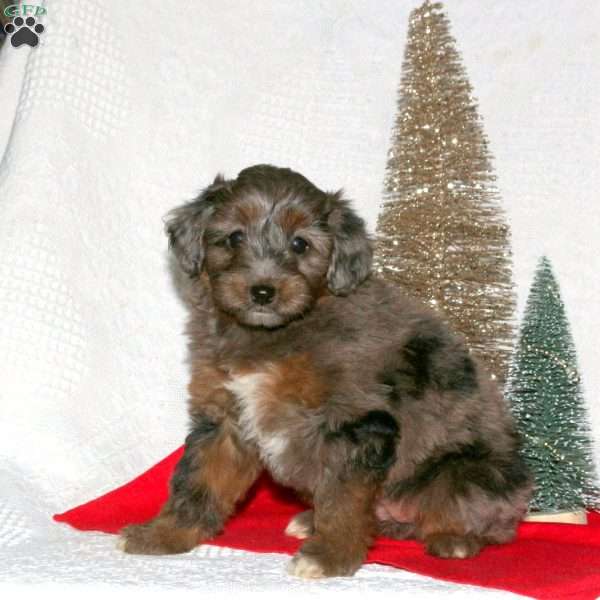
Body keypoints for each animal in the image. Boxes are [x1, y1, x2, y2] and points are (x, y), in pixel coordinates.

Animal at [119, 166, 532, 580]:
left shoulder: (356, 424)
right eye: (234, 237)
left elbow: (344, 498)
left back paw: (456, 539)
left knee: (474, 516)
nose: (263, 292)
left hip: (462, 472)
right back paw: (312, 519)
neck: (274, 334)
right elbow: (197, 481)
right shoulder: (224, 422)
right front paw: (163, 534)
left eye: (300, 244)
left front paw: (330, 556)